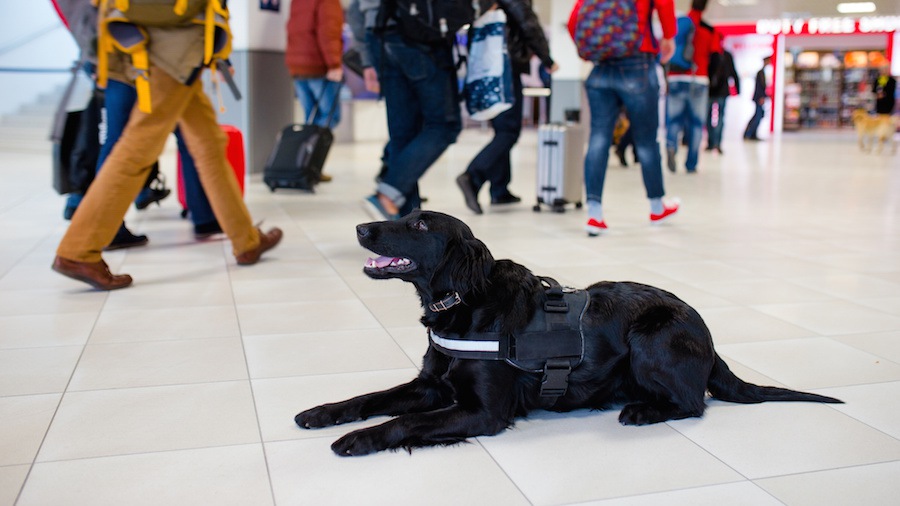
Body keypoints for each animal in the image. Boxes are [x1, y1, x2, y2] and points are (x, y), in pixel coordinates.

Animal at [298, 211, 844, 456]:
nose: (360, 228)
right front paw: (322, 412)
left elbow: (404, 421)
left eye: (419, 225)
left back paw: (641, 410)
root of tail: (709, 341)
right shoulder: (431, 385)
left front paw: (358, 438)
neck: (465, 305)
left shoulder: (483, 412)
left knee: (694, 402)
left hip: (650, 335)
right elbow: (371, 397)